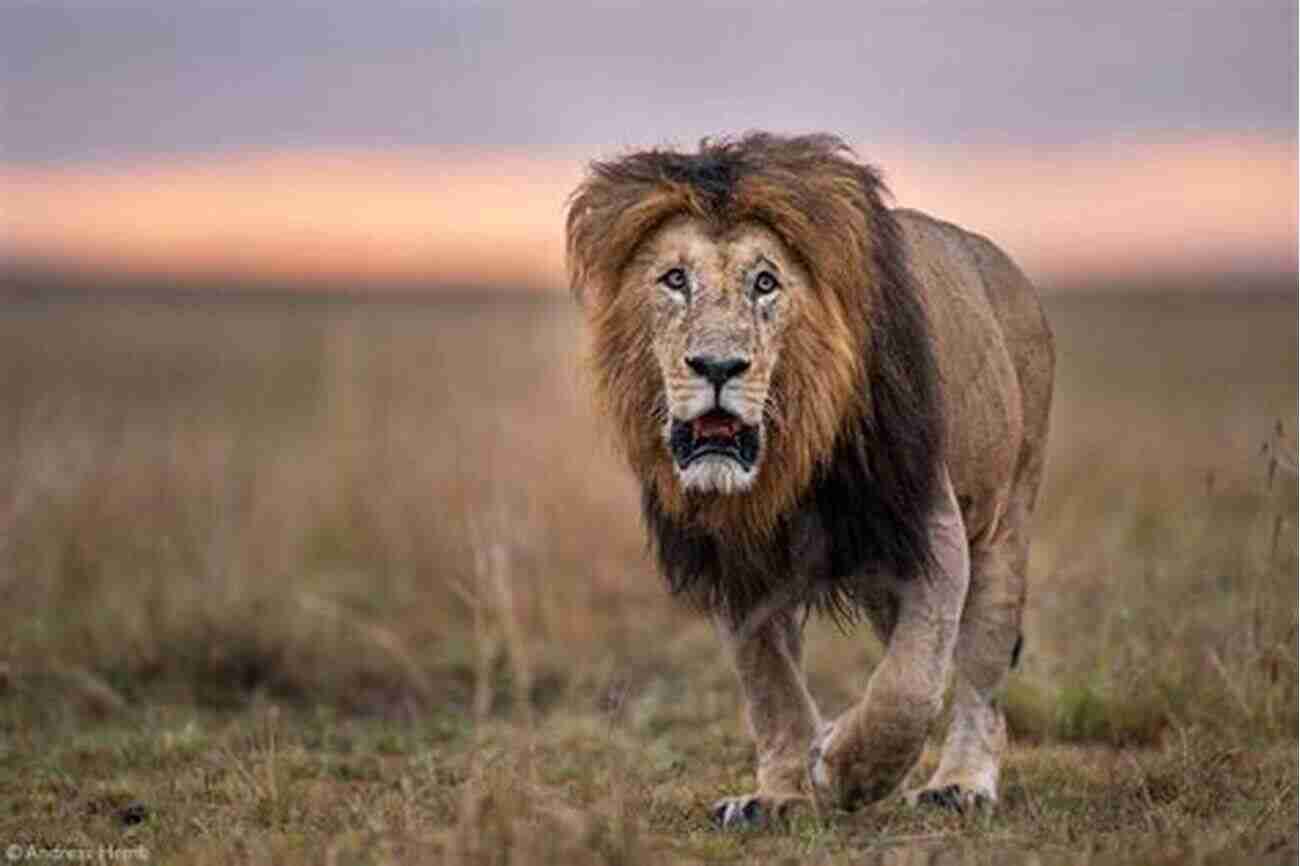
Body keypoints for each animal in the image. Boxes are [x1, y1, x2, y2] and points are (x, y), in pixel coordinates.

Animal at [564, 131, 1050, 826]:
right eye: (675, 280)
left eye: (766, 282)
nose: (718, 366)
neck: (786, 466)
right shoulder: (735, 563)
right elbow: (771, 688)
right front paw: (779, 794)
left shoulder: (930, 529)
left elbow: (908, 686)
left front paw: (844, 768)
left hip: (1006, 521)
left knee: (978, 671)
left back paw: (959, 784)